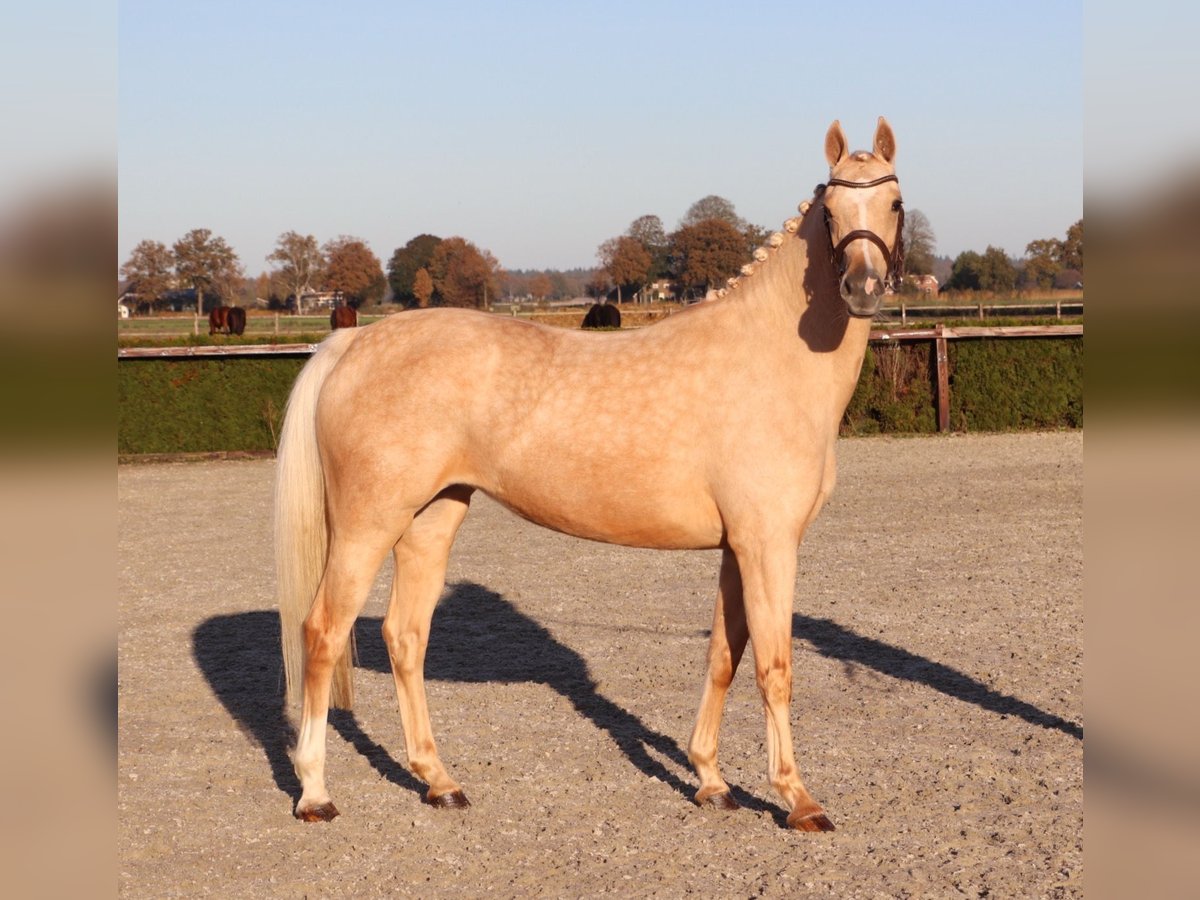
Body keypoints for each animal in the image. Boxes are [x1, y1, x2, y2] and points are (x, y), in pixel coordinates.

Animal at [276, 118, 902, 830]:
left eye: (894, 204)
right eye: (829, 211)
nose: (862, 288)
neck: (768, 357)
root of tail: (354, 342)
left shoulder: (737, 548)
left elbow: (723, 656)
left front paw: (711, 781)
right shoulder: (769, 546)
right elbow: (775, 665)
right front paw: (797, 799)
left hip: (431, 519)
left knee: (404, 638)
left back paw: (440, 782)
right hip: (366, 525)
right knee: (323, 633)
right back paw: (315, 792)